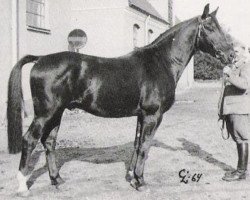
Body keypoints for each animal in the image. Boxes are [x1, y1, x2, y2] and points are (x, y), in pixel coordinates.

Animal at [7, 3, 234, 194]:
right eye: (210, 27)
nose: (231, 54)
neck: (161, 62)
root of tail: (40, 59)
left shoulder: (141, 115)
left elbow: (137, 144)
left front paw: (132, 177)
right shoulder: (152, 115)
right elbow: (145, 146)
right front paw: (141, 182)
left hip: (58, 113)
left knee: (49, 142)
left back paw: (57, 180)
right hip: (45, 113)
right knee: (29, 140)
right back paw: (23, 186)